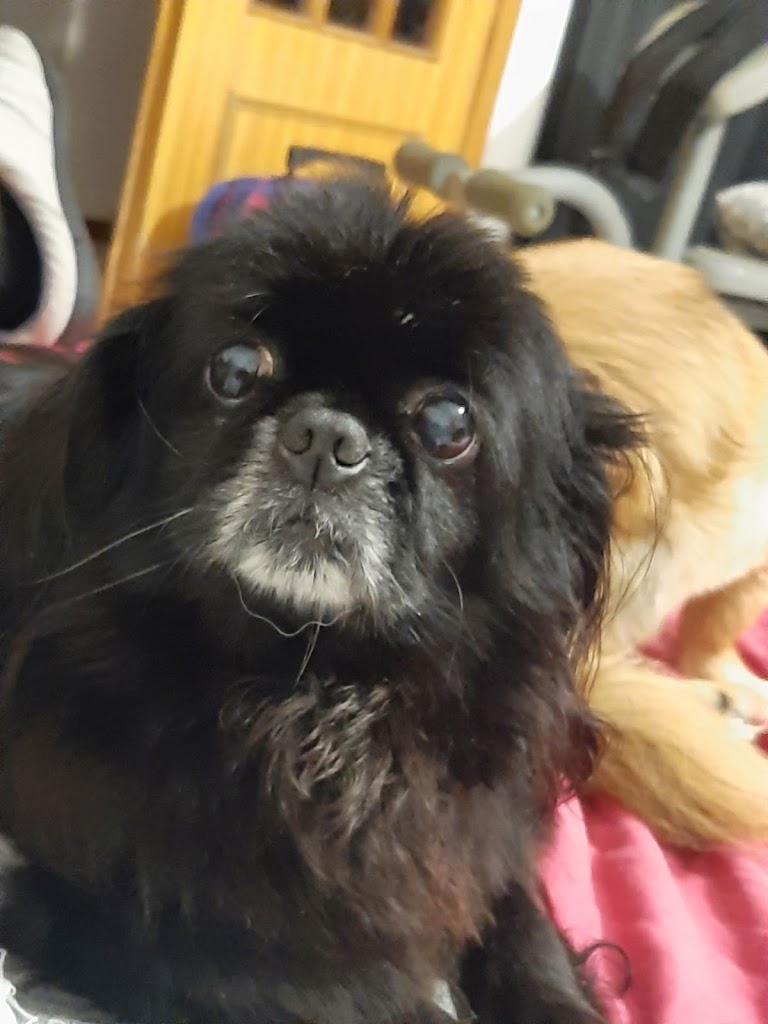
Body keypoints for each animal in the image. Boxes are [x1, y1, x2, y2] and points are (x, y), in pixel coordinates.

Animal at [0, 180, 636, 1024]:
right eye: (235, 369)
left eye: (448, 422)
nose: (326, 437)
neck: (314, 682)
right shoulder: (88, 898)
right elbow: (309, 982)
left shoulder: (475, 848)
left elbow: (528, 934)